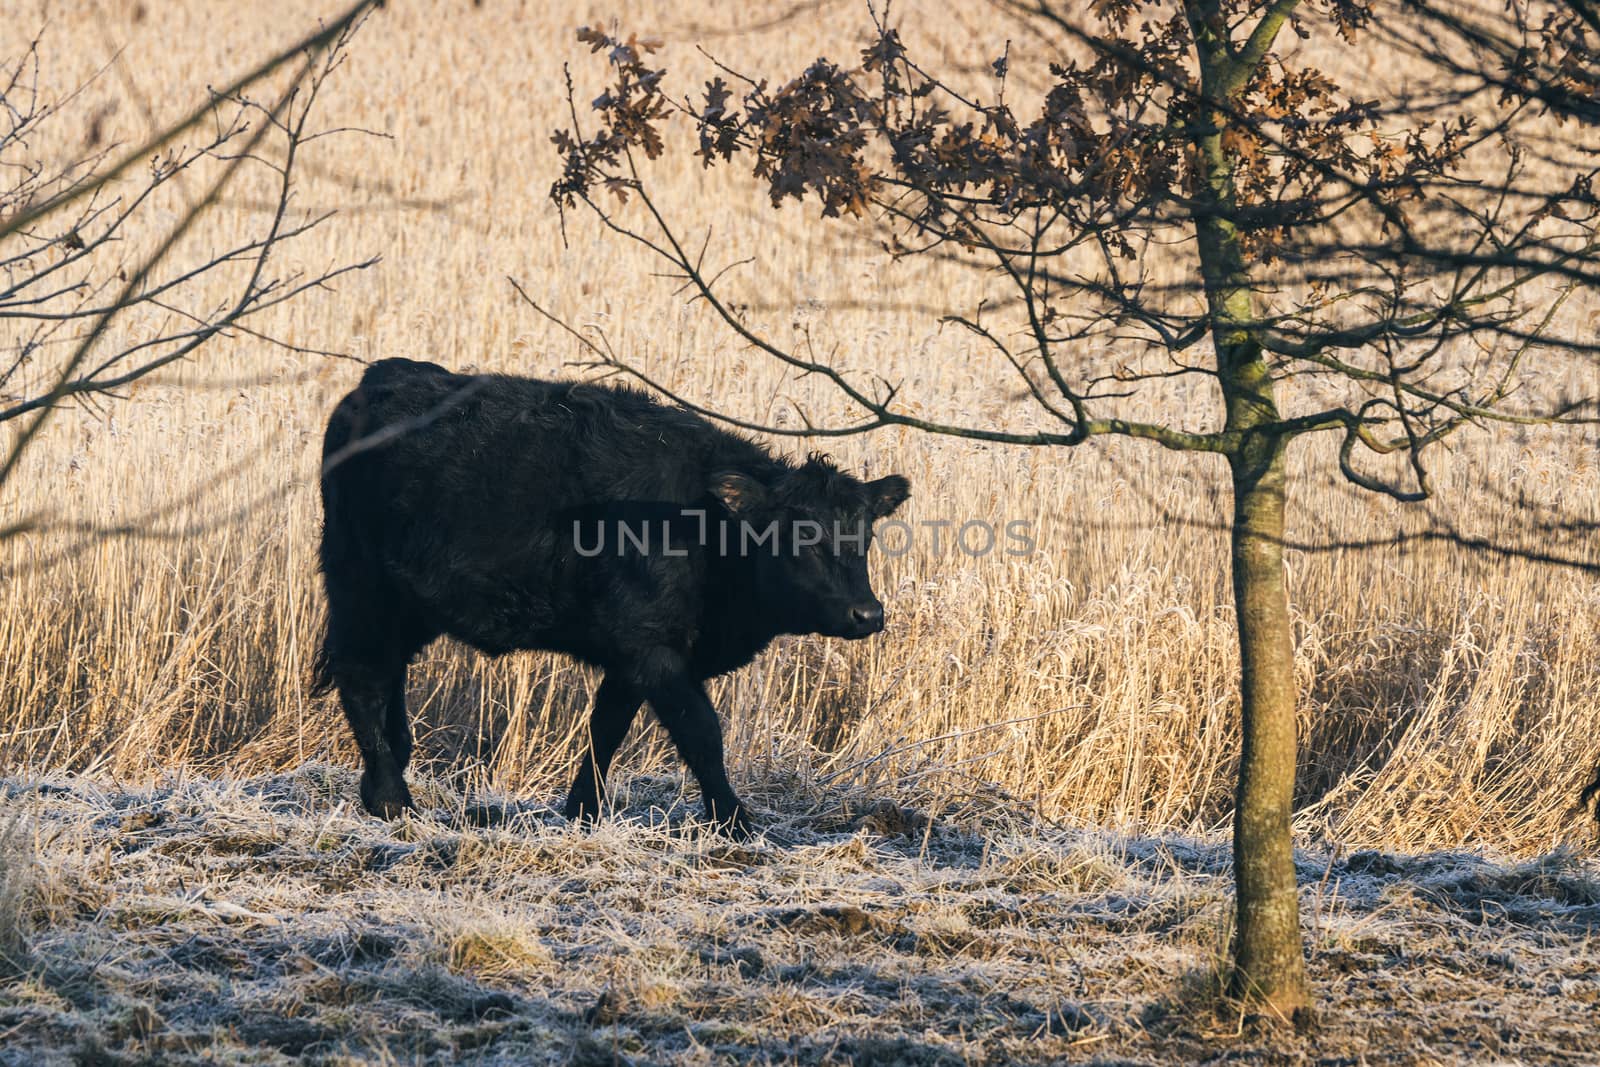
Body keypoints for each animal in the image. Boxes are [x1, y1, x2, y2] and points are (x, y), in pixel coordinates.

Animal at [313, 363, 915, 838]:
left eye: (864, 536)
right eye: (800, 537)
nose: (867, 614)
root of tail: (382, 378)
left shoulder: (632, 653)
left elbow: (606, 727)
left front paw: (582, 811)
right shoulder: (651, 643)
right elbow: (701, 731)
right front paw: (735, 822)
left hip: (409, 606)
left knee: (389, 677)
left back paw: (387, 775)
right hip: (361, 587)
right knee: (362, 675)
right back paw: (391, 799)